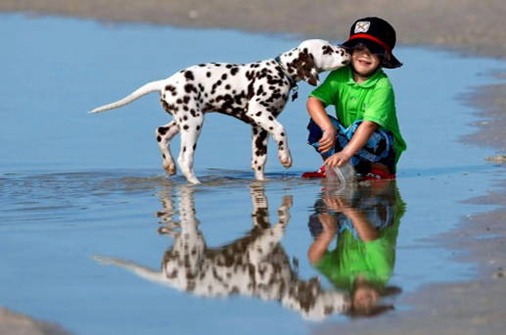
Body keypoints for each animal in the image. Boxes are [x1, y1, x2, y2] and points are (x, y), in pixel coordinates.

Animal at [91, 41, 350, 186]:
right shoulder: (259, 111)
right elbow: (282, 131)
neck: (281, 71)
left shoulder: (258, 126)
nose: (346, 50)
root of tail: (167, 82)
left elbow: (259, 161)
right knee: (186, 159)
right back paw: (195, 183)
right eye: (327, 49)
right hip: (193, 122)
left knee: (161, 133)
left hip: (181, 120)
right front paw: (285, 157)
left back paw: (169, 165)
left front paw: (262, 183)